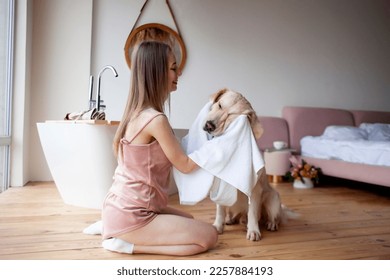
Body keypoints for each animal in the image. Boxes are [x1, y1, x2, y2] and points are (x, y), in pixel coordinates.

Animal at [204, 88, 292, 241]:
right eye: (219, 105)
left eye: (230, 116)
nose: (209, 125)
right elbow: (220, 210)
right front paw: (218, 226)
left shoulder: (254, 190)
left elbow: (252, 212)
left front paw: (253, 231)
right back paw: (232, 219)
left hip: (273, 198)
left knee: (270, 216)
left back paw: (270, 224)